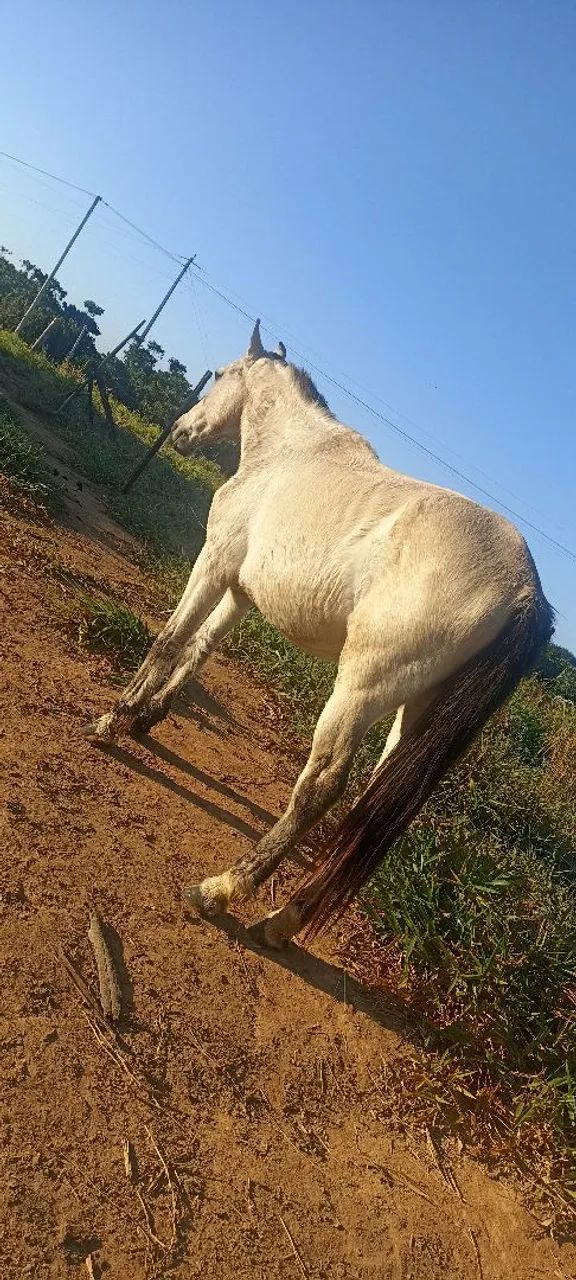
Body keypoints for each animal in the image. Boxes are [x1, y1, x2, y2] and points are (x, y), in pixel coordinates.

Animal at [86, 320, 553, 947]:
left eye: (220, 374)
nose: (182, 431)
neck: (289, 454)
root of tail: (523, 585)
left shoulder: (214, 563)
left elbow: (169, 642)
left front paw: (112, 723)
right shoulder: (240, 590)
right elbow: (200, 650)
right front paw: (146, 719)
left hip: (360, 688)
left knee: (323, 785)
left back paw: (220, 891)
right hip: (414, 711)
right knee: (365, 809)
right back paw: (282, 921)